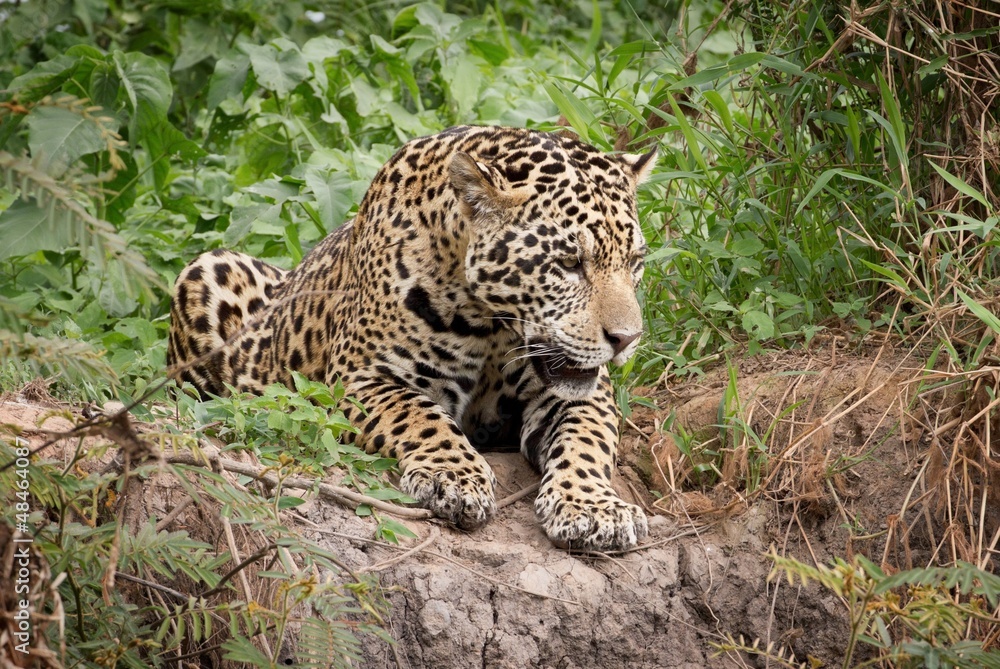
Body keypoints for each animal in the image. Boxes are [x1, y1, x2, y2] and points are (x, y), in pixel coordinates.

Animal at [168, 125, 656, 550]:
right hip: (208, 270)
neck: (491, 323)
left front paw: (593, 508)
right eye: (569, 263)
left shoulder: (582, 393)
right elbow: (419, 415)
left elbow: (586, 440)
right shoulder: (360, 378)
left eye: (634, 262)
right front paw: (452, 478)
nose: (627, 338)